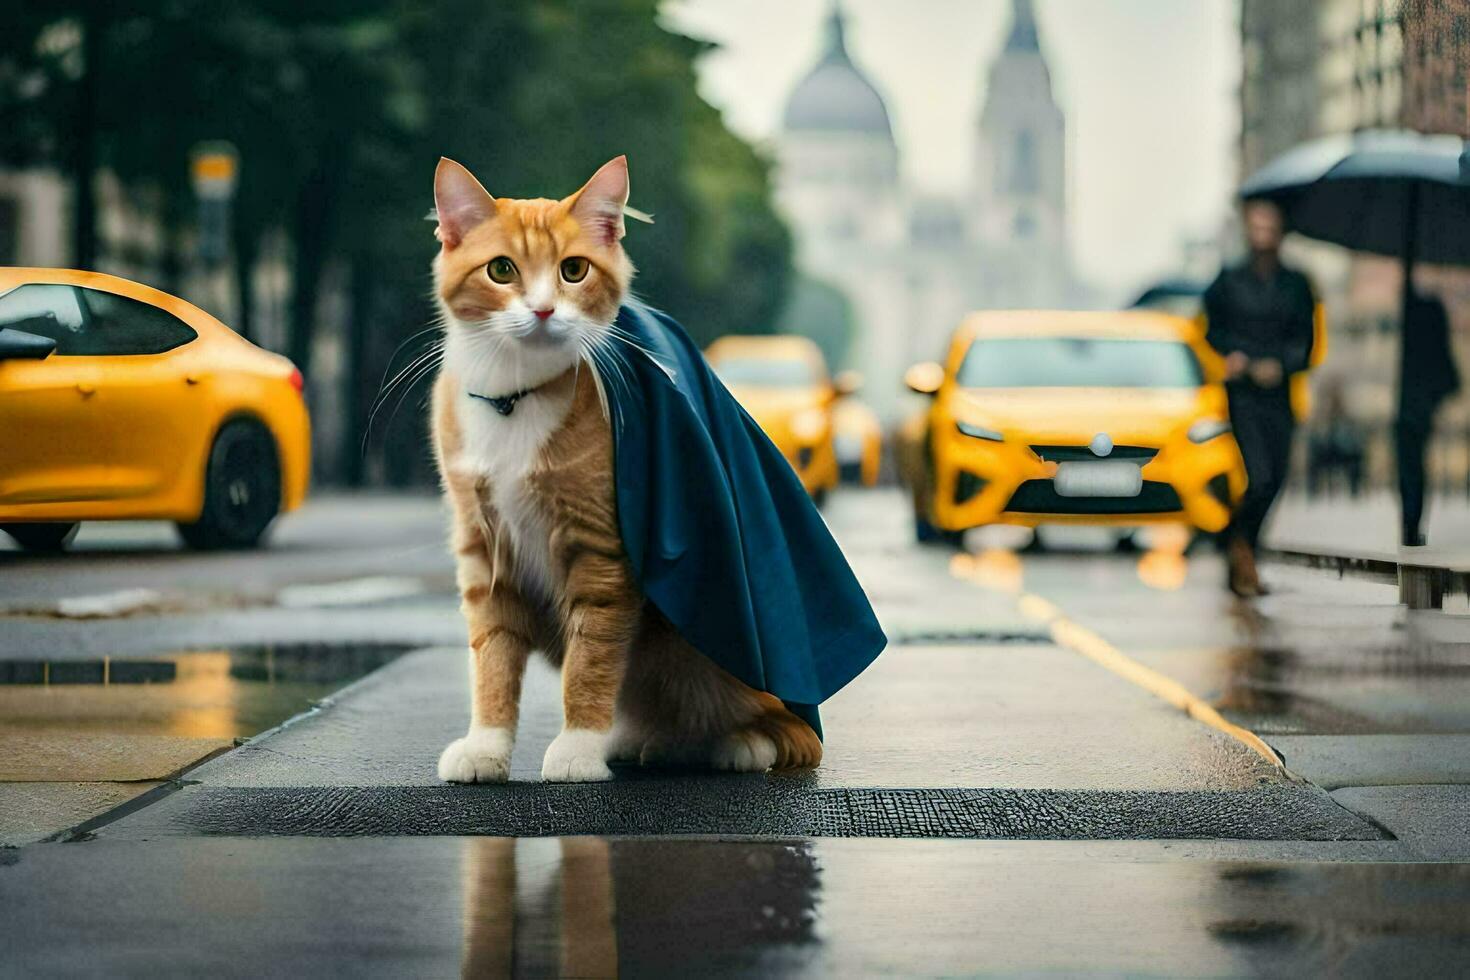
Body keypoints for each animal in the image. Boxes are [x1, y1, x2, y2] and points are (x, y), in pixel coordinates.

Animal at [429, 157, 823, 787]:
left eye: (573, 270)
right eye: (500, 270)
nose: (543, 310)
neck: (515, 395)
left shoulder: (600, 550)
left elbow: (591, 659)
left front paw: (576, 749)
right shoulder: (483, 546)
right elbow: (492, 654)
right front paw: (486, 745)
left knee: (785, 728)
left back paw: (740, 743)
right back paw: (648, 741)